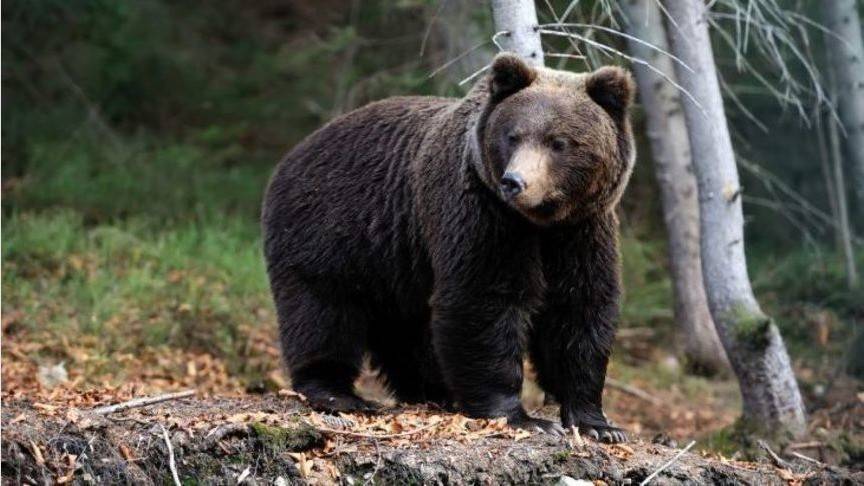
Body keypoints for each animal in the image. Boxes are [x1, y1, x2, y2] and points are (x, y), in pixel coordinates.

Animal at [264, 51, 636, 442]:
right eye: (513, 136)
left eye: (559, 142)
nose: (514, 182)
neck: (538, 222)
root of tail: (292, 155)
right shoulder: (480, 212)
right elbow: (483, 299)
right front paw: (522, 416)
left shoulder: (582, 230)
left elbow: (579, 309)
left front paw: (597, 423)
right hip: (328, 231)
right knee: (322, 311)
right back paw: (338, 392)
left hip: (396, 259)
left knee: (407, 330)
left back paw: (433, 390)